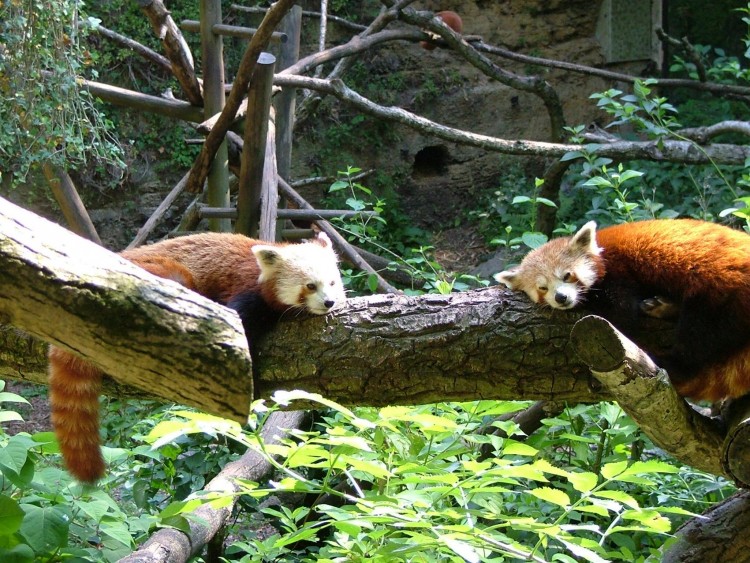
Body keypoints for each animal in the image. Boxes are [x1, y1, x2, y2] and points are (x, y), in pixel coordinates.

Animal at [496, 218, 750, 404]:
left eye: (567, 275)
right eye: (543, 288)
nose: (561, 298)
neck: (601, 254)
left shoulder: (619, 272)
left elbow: (622, 314)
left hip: (721, 291)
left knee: (698, 338)